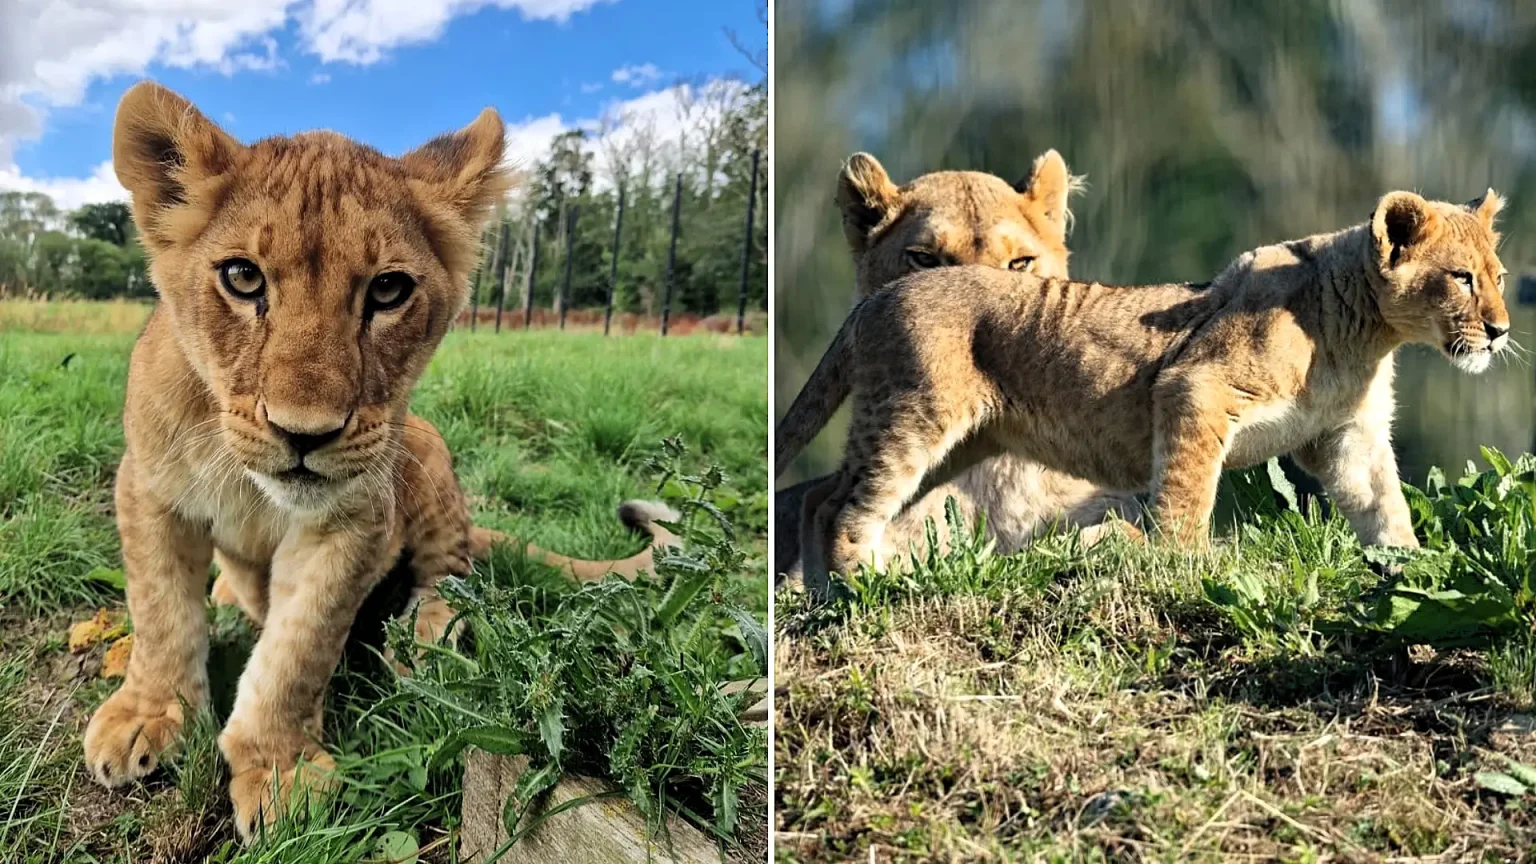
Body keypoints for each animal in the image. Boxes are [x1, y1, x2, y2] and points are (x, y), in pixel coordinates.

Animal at [84, 81, 674, 839]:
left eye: (389, 291)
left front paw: (279, 770)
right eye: (242, 278)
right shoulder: (150, 490)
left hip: (422, 448)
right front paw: (149, 715)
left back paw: (421, 638)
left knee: (452, 571)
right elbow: (160, 613)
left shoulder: (356, 518)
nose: (305, 434)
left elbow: (298, 650)